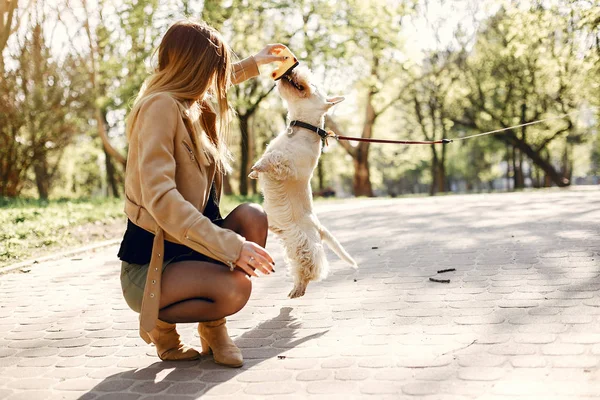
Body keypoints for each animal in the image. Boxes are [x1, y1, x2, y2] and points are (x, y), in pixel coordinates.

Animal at [248, 68, 356, 296]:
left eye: (313, 85)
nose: (296, 71)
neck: (301, 127)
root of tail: (319, 227)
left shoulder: (288, 165)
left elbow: (272, 159)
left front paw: (257, 167)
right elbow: (267, 156)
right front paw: (253, 173)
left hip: (304, 243)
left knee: (311, 267)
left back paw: (299, 289)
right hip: (288, 237)